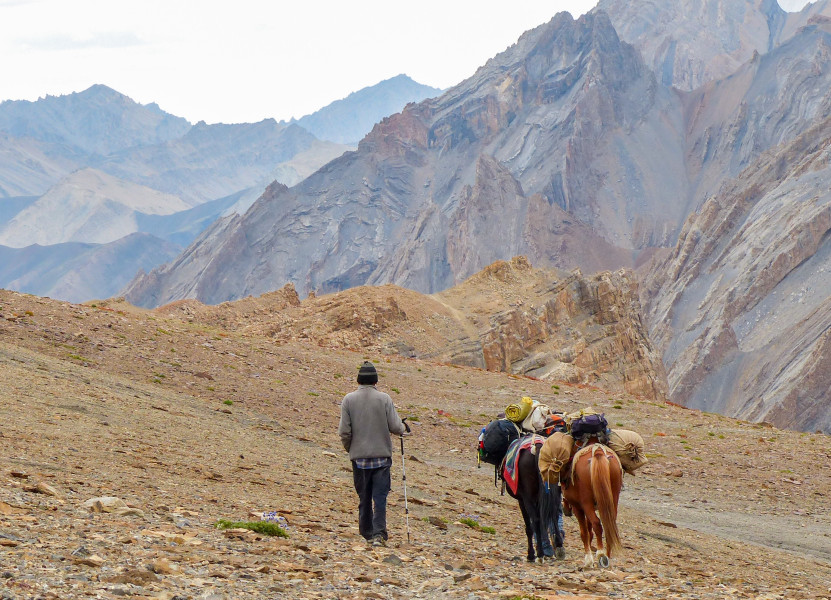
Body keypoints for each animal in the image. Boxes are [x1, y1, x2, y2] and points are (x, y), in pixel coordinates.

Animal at [564, 440, 620, 568]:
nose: (566, 511)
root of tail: (598, 452)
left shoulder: (578, 507)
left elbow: (584, 532)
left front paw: (588, 560)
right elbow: (589, 529)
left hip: (586, 503)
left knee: (597, 523)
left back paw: (600, 554)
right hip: (613, 499)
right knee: (609, 525)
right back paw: (607, 555)